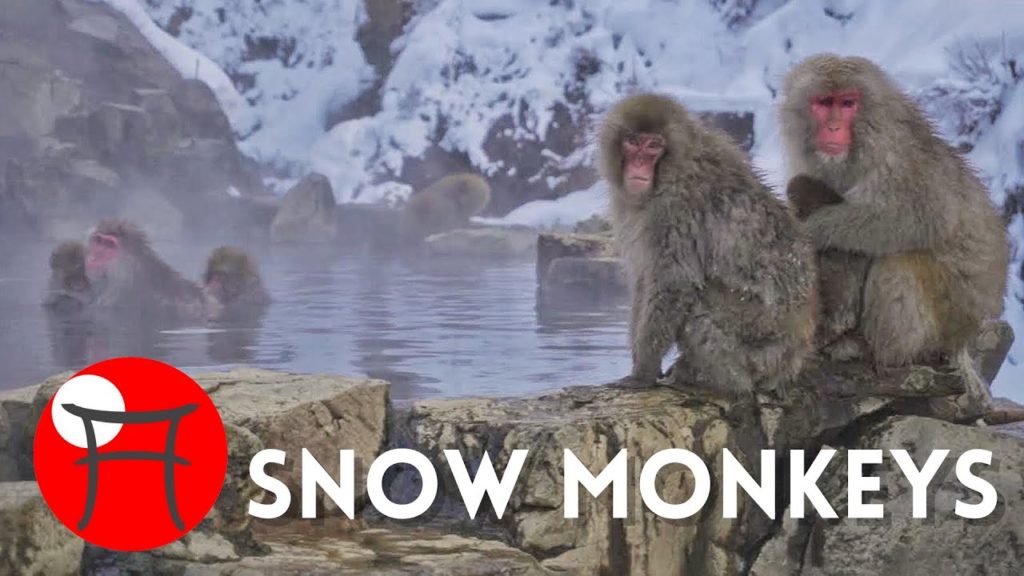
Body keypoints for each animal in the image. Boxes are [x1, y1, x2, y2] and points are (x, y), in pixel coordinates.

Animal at [600, 93, 817, 396]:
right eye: (633, 142)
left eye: (653, 146)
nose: (639, 165)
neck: (671, 171)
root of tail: (794, 357)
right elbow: (644, 281)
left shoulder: (675, 211)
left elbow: (673, 284)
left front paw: (642, 372)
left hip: (758, 340)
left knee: (700, 307)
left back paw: (713, 379)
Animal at [779, 54, 1009, 412]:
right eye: (824, 103)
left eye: (847, 104)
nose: (833, 127)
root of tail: (965, 337)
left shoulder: (898, 157)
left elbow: (919, 217)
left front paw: (811, 230)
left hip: (947, 320)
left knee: (900, 260)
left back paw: (875, 350)